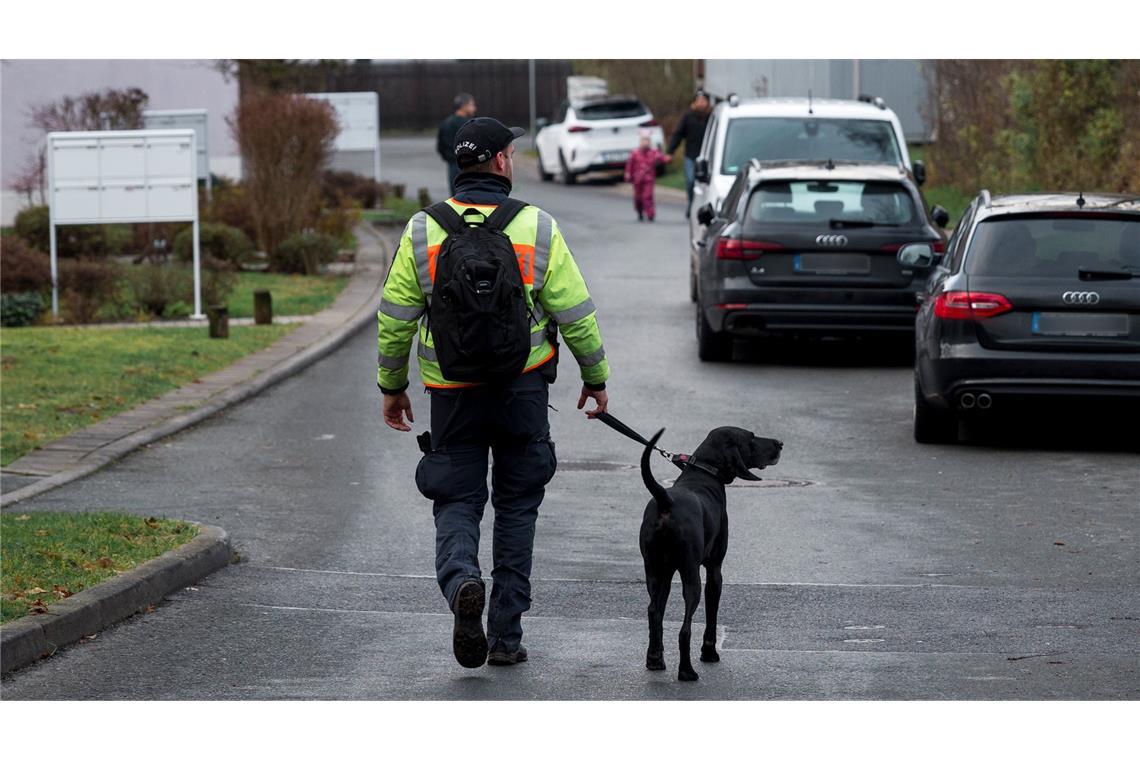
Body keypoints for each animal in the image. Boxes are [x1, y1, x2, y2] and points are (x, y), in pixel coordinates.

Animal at [638, 426, 779, 679]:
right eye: (751, 437)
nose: (780, 443)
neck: (704, 471)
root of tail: (667, 502)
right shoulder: (714, 570)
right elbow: (711, 614)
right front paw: (709, 652)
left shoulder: (664, 573)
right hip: (690, 573)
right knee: (684, 629)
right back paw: (687, 671)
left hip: (654, 571)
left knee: (654, 612)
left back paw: (655, 659)